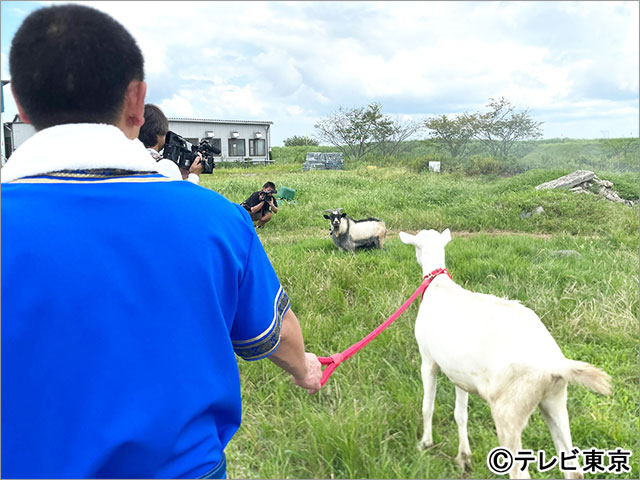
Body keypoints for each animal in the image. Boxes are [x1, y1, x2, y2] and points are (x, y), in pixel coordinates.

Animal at [398, 228, 612, 476]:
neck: (438, 285)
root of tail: (554, 363)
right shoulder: (459, 374)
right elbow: (460, 414)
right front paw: (464, 457)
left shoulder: (428, 360)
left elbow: (427, 406)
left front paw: (425, 443)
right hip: (555, 400)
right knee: (573, 469)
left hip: (510, 409)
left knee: (519, 470)